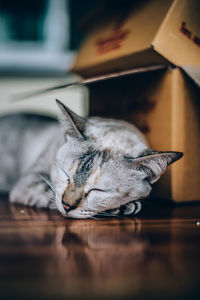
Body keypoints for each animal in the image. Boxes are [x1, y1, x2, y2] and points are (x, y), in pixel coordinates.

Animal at [0, 99, 183, 219]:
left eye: (98, 190)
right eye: (66, 176)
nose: (67, 206)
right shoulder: (30, 183)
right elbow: (50, 194)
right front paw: (125, 207)